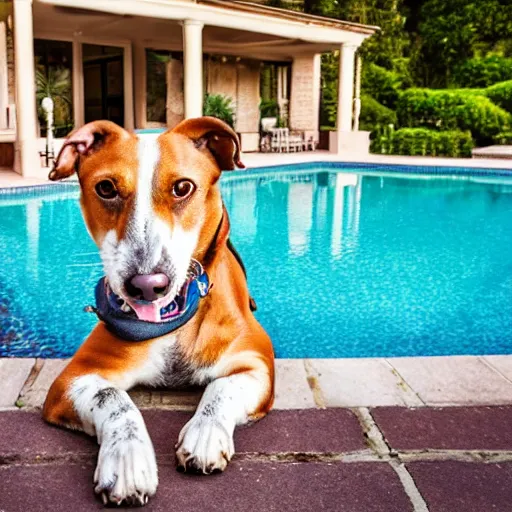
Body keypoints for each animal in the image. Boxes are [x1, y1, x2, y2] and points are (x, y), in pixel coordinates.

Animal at [44, 117, 276, 508]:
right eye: (106, 188)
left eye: (183, 187)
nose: (147, 285)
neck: (174, 321)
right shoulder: (72, 378)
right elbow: (114, 399)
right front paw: (127, 460)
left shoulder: (257, 363)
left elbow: (222, 387)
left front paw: (205, 432)